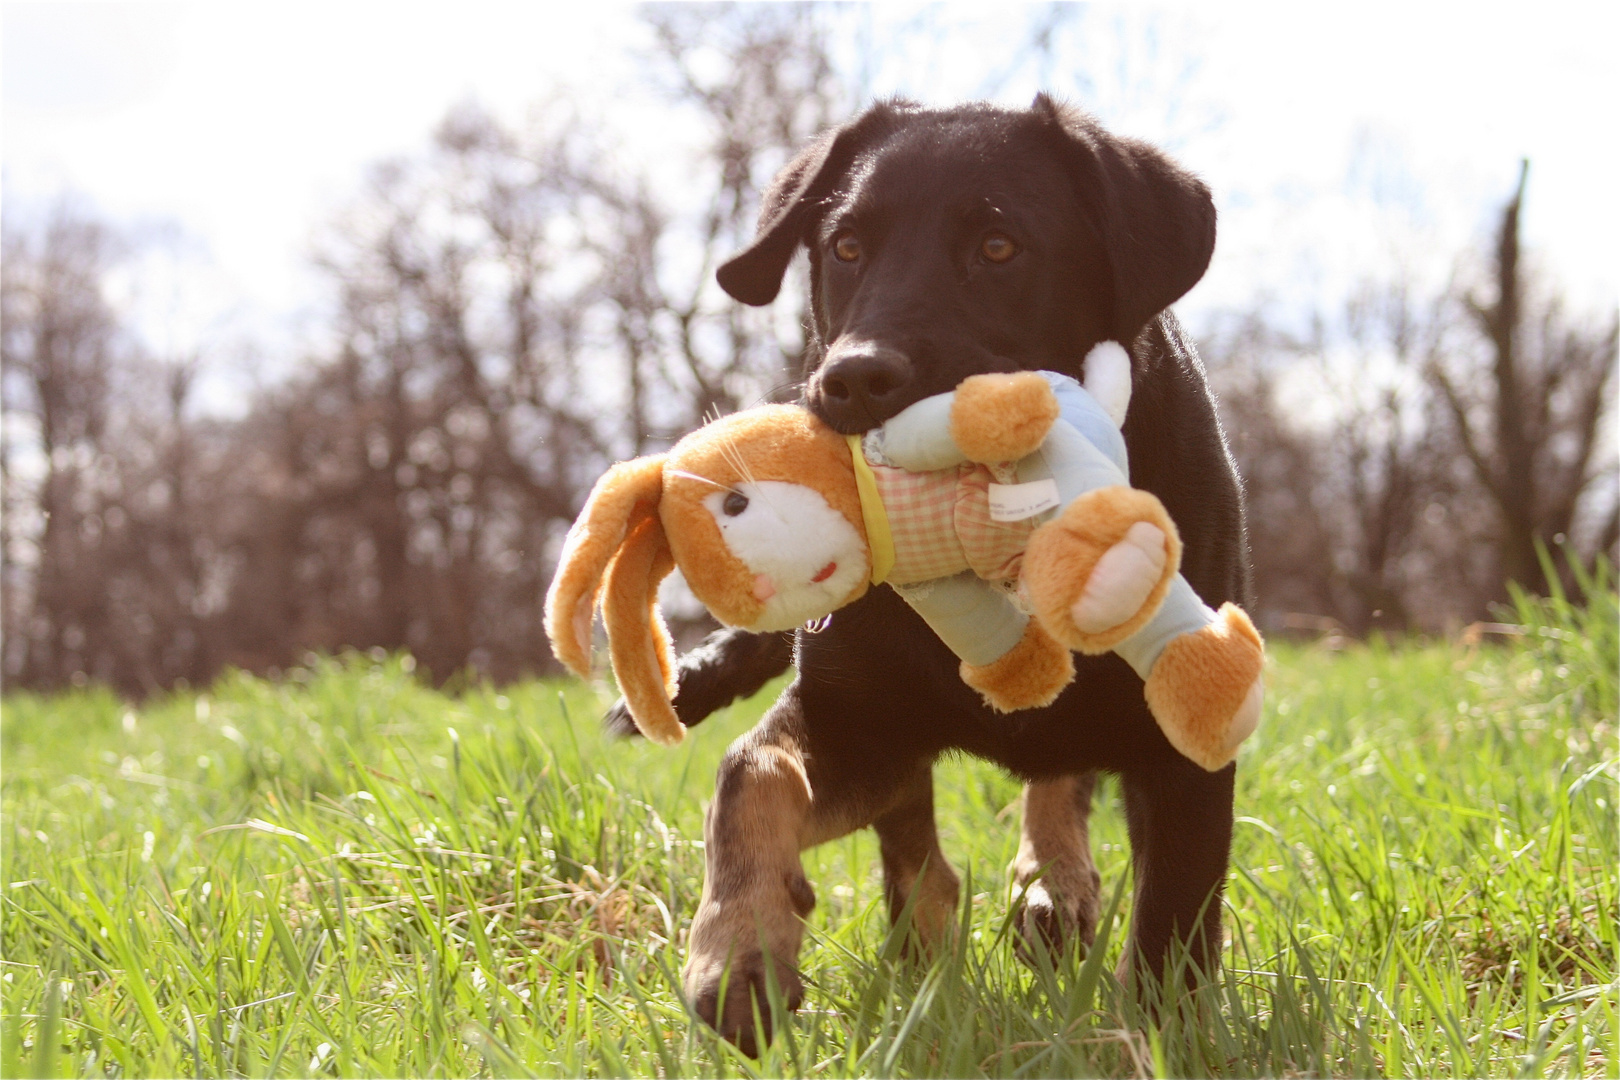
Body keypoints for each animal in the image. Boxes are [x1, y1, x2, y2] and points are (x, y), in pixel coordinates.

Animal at [602, 95, 1244, 1055]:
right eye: (845, 247)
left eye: (999, 246)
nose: (854, 379)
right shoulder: (858, 717)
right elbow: (749, 771)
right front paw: (739, 952)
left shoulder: (1185, 734)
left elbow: (1174, 928)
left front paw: (1157, 1039)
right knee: (919, 843)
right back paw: (935, 934)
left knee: (1053, 782)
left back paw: (1050, 885)